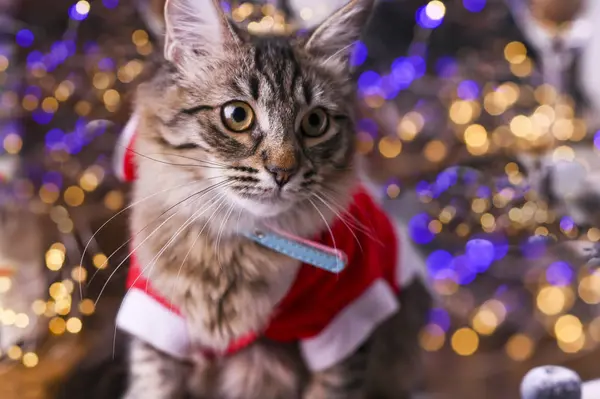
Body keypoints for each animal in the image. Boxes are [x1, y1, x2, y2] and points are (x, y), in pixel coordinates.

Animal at [115, 0, 432, 399]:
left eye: (315, 122)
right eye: (237, 115)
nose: (283, 172)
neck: (234, 246)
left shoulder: (343, 324)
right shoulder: (159, 324)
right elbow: (152, 385)